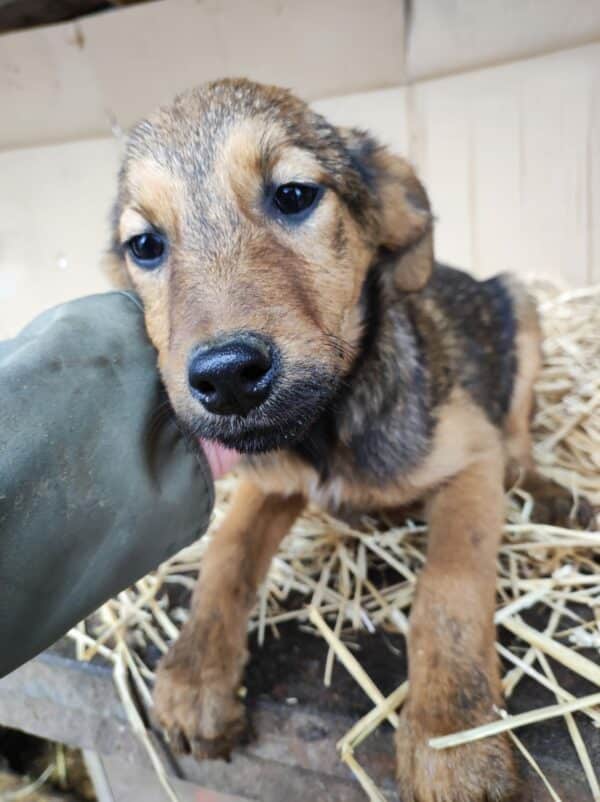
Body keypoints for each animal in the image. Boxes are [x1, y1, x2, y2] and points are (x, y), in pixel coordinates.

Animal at [109, 79, 584, 800]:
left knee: (520, 435)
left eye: (294, 195)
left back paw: (544, 490)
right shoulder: (270, 480)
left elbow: (449, 587)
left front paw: (452, 735)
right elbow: (225, 555)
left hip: (522, 310)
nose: (227, 379)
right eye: (145, 245)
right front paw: (194, 677)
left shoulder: (470, 454)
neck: (326, 427)